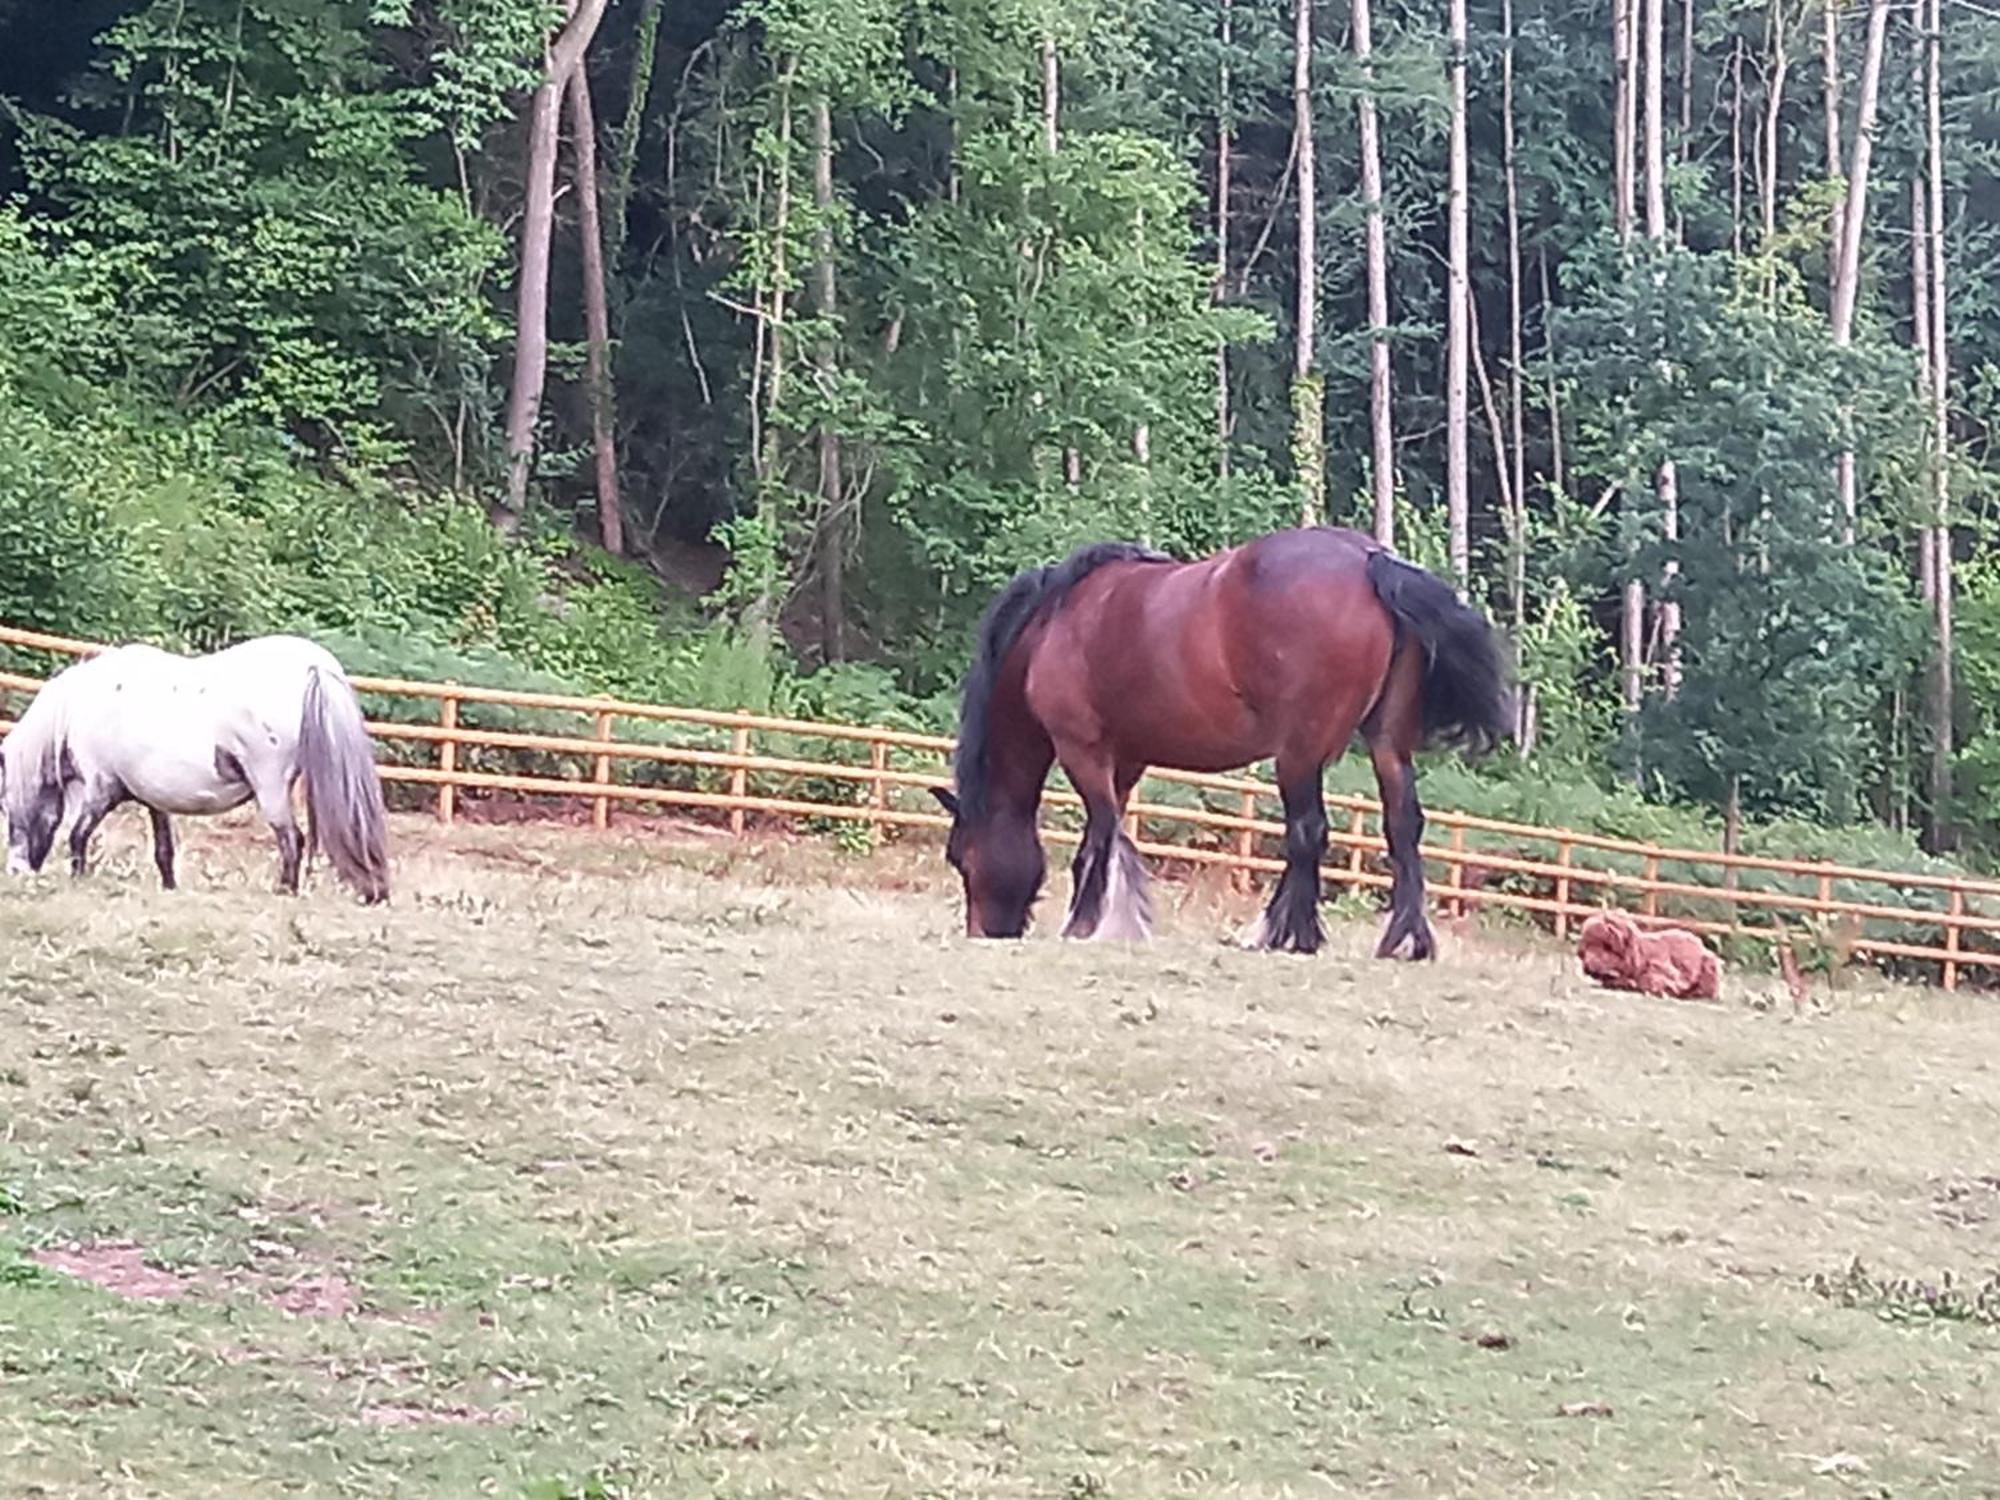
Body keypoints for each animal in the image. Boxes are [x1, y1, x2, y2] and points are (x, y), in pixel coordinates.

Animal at [0, 636, 390, 904]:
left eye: (5, 807)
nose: (16, 870)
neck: (78, 708)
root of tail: (314, 666)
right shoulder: (153, 798)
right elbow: (163, 850)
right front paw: (170, 888)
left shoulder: (101, 789)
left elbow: (78, 836)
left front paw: (78, 879)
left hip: (271, 788)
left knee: (292, 839)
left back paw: (285, 891)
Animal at [928, 528, 1504, 964]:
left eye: (960, 856)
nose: (985, 931)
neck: (1053, 626)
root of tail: (1370, 561)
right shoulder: (1126, 759)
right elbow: (1115, 835)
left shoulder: (1082, 749)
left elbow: (1098, 838)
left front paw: (1084, 923)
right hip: (1387, 745)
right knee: (1402, 827)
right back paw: (1403, 941)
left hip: (1297, 753)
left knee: (1306, 832)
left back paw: (1282, 933)